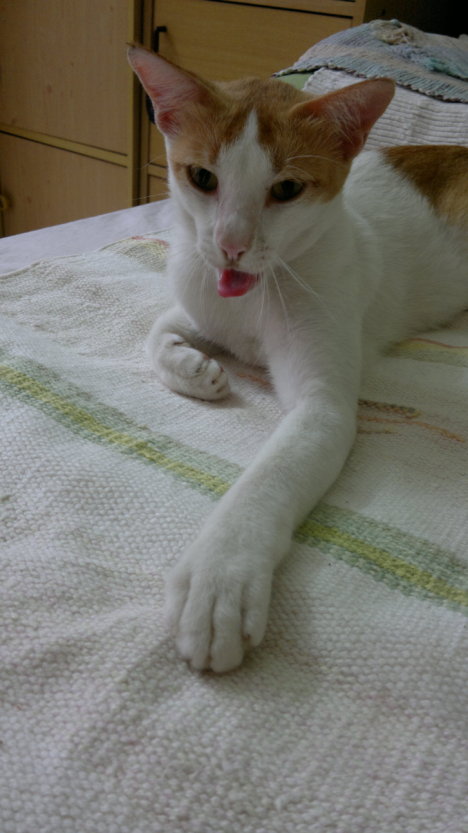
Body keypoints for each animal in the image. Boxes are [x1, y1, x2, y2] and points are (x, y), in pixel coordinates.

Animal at [128, 45, 468, 673]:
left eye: (286, 190)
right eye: (202, 177)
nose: (231, 246)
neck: (255, 294)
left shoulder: (324, 405)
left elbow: (270, 476)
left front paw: (219, 577)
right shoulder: (198, 294)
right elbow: (156, 328)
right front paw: (193, 368)